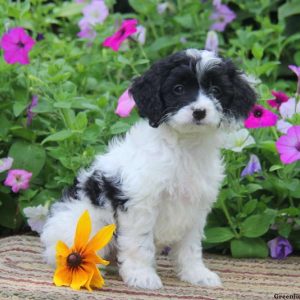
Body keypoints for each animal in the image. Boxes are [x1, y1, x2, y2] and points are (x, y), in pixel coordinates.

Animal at [40, 48, 255, 288]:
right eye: (178, 89)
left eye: (216, 90)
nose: (199, 112)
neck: (184, 146)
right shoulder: (140, 204)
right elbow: (140, 244)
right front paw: (142, 275)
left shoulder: (195, 208)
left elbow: (190, 247)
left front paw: (196, 273)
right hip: (88, 223)